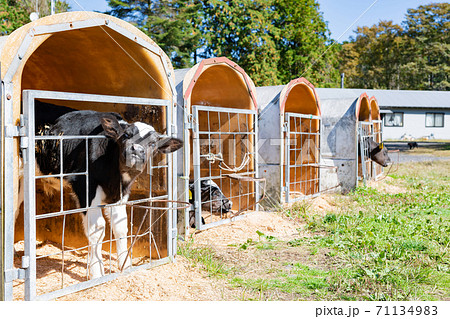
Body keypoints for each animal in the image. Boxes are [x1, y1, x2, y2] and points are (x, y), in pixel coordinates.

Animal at [18, 110, 183, 280]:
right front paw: (97, 272)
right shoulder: (84, 186)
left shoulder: (120, 194)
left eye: (153, 143)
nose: (136, 149)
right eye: (126, 135)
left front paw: (125, 266)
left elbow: (120, 225)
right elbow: (97, 229)